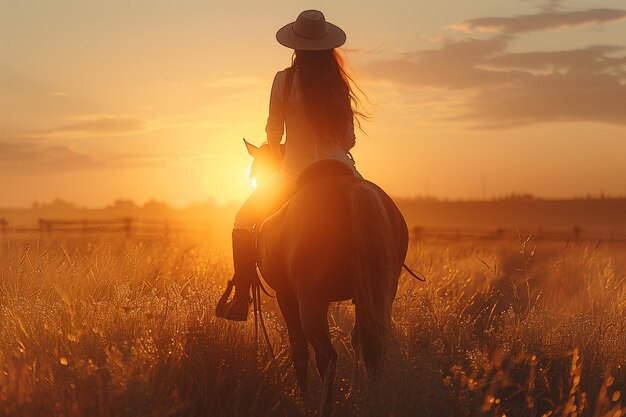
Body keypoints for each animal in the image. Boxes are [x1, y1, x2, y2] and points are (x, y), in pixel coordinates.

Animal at [241, 141, 408, 416]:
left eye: (256, 170)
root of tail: (352, 189)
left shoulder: (288, 295)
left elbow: (298, 347)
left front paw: (303, 399)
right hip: (379, 293)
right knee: (371, 347)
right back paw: (368, 400)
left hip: (312, 303)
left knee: (327, 357)